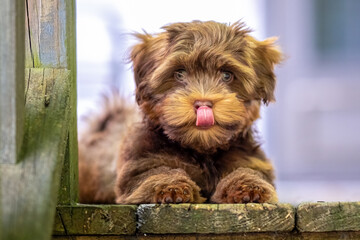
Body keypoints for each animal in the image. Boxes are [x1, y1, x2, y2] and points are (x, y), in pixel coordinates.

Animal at [78, 21, 282, 204]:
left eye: (227, 75)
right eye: (179, 73)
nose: (203, 104)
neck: (201, 149)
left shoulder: (247, 157)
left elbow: (247, 170)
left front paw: (249, 186)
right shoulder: (141, 162)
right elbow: (157, 171)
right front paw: (170, 187)